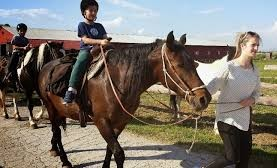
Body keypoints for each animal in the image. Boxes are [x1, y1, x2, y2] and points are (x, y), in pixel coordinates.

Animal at [36, 31, 209, 167]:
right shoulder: (101, 121)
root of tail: (46, 66)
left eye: (194, 63)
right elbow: (119, 153)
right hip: (50, 108)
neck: (116, 81)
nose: (204, 98)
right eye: (179, 64)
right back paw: (64, 160)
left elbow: (110, 150)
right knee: (56, 132)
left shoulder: (120, 122)